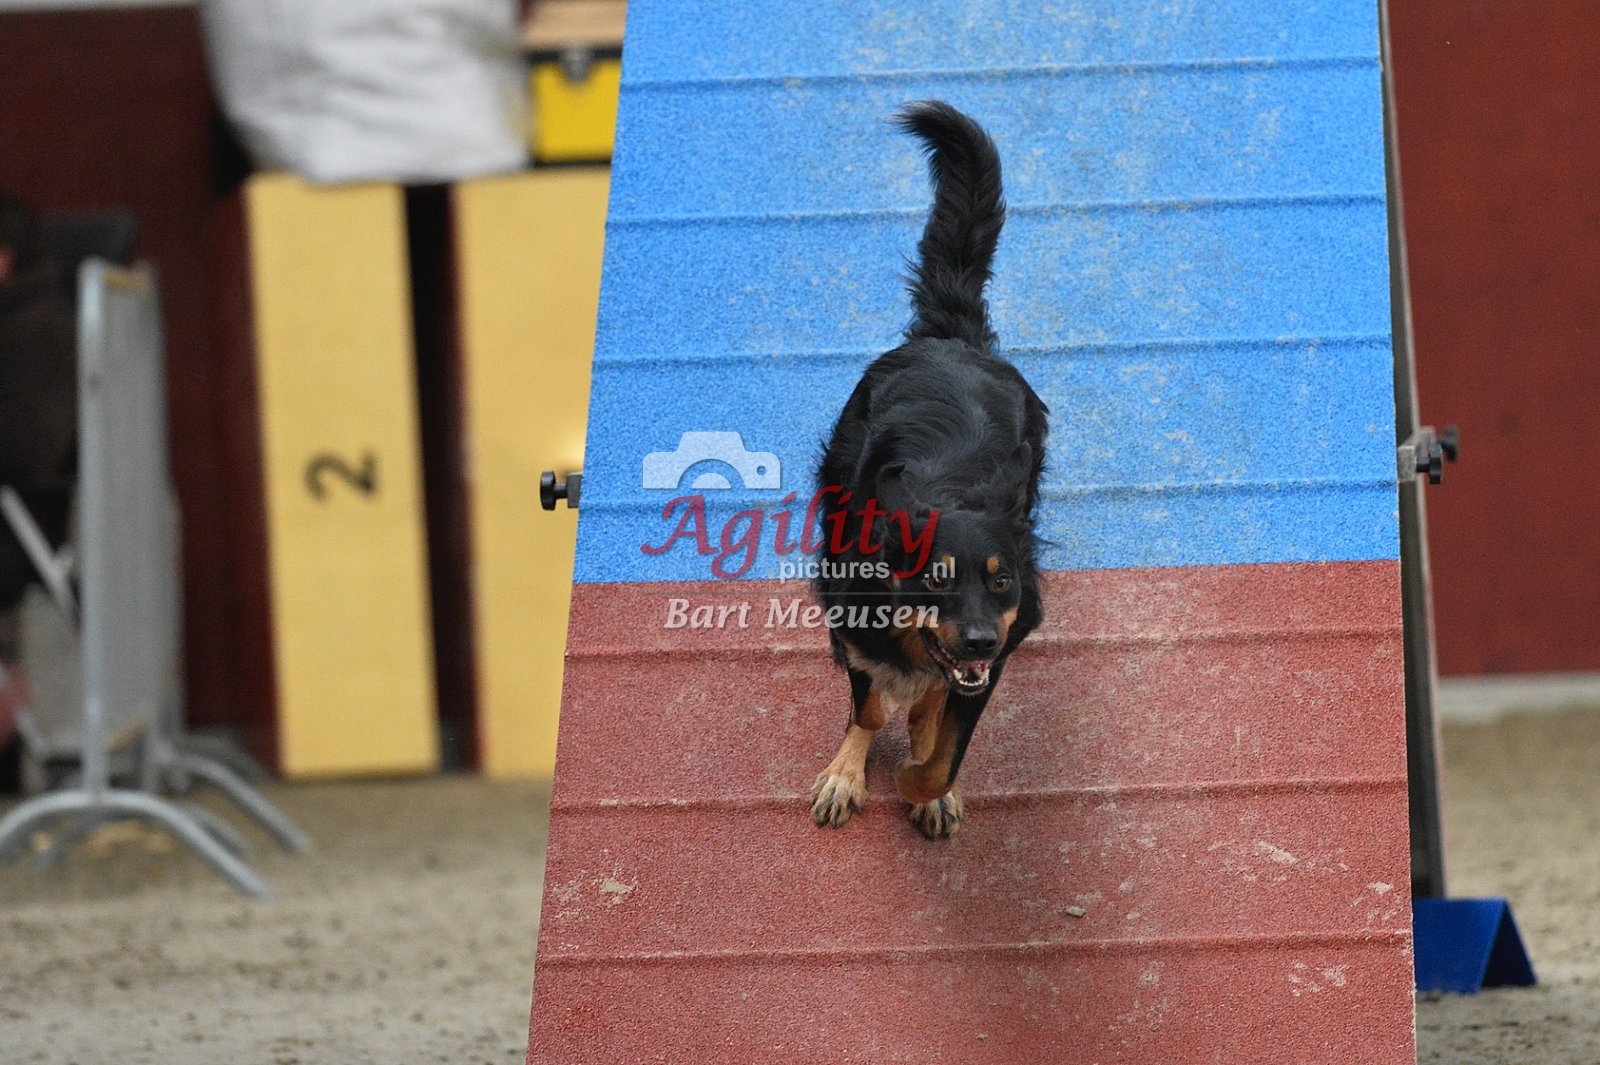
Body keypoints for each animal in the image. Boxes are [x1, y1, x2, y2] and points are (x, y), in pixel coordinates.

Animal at [809, 101, 1048, 840]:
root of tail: (951, 338)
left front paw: (925, 784)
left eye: (1001, 582)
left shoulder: (999, 646)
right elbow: (868, 704)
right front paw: (851, 771)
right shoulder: (855, 623)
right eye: (935, 578)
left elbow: (943, 746)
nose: (974, 638)